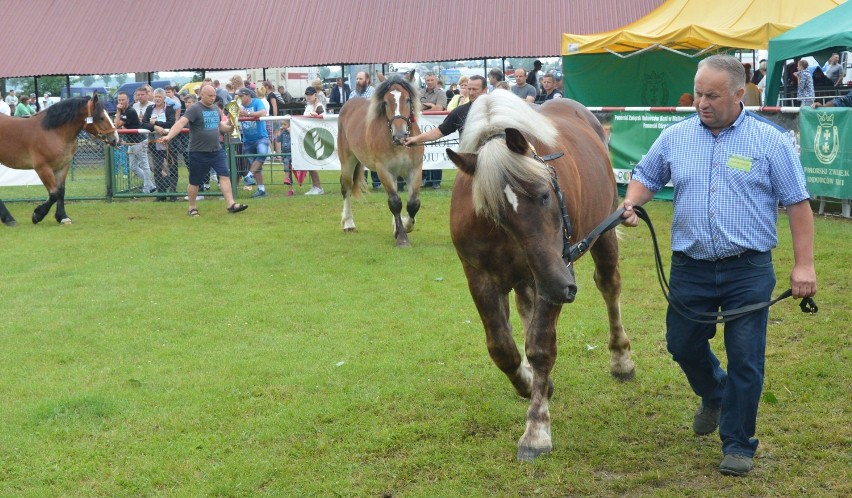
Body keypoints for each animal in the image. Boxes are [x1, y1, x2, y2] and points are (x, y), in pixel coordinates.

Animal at [0, 93, 118, 226]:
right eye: (101, 118)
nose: (115, 139)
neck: (53, 132)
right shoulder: (43, 168)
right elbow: (54, 194)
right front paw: (37, 215)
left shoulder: (62, 166)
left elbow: (61, 191)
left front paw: (62, 217)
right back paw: (9, 219)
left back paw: (8, 218)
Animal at [334, 76, 424, 247]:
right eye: (386, 102)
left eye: (408, 99)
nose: (400, 134)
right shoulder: (384, 171)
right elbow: (395, 202)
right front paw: (402, 237)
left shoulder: (414, 170)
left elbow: (413, 203)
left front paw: (405, 225)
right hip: (347, 161)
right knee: (346, 188)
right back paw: (348, 223)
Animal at [450, 90, 636, 462]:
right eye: (496, 213)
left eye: (545, 193)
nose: (560, 286)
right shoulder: (480, 277)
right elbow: (502, 348)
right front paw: (528, 382)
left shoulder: (555, 270)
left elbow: (540, 347)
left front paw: (536, 430)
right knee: (525, 309)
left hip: (603, 235)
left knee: (610, 287)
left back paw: (621, 359)